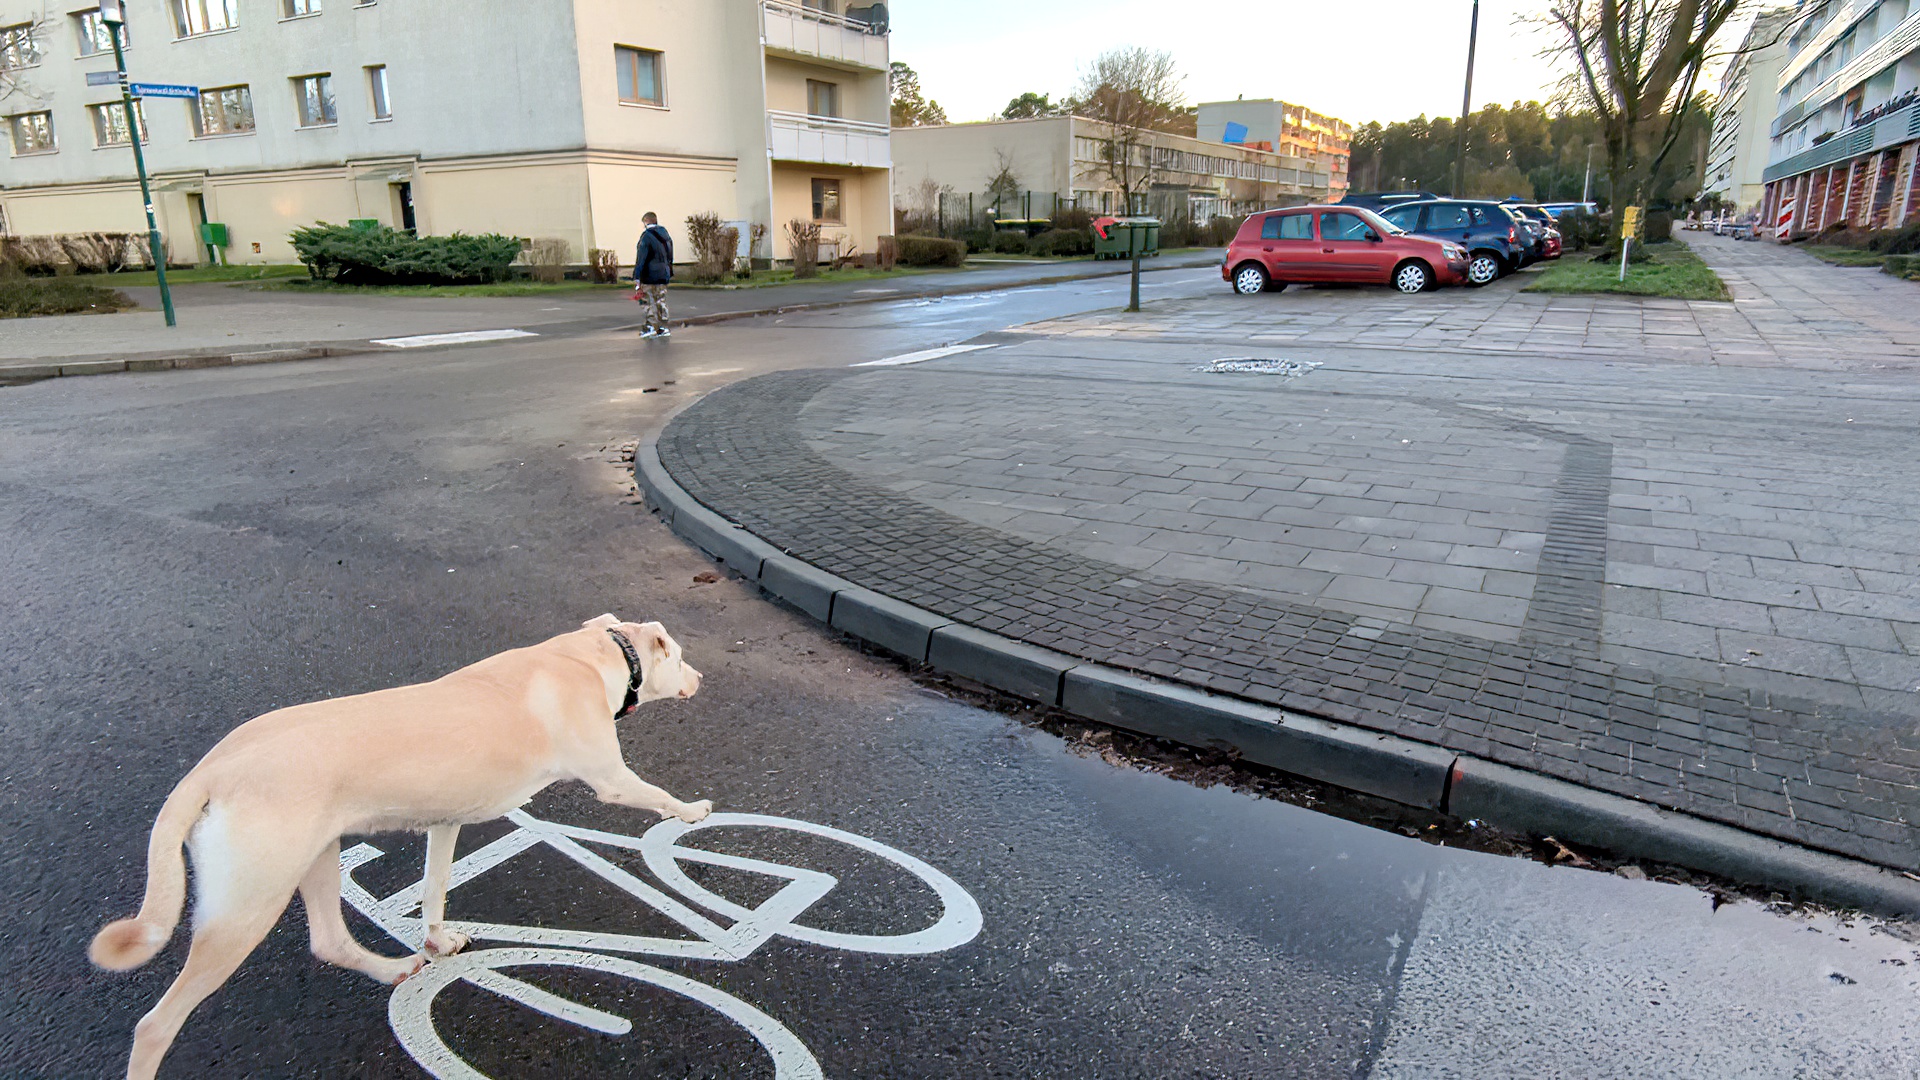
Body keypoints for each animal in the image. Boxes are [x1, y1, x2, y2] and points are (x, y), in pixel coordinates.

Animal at [90, 614, 706, 1076]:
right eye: (678, 656)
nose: (699, 679)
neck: (589, 655)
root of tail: (210, 770)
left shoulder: (445, 821)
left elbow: (434, 887)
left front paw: (437, 940)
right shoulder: (612, 779)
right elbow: (659, 796)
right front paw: (694, 812)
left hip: (316, 857)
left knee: (329, 941)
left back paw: (391, 972)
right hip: (246, 909)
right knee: (155, 1026)